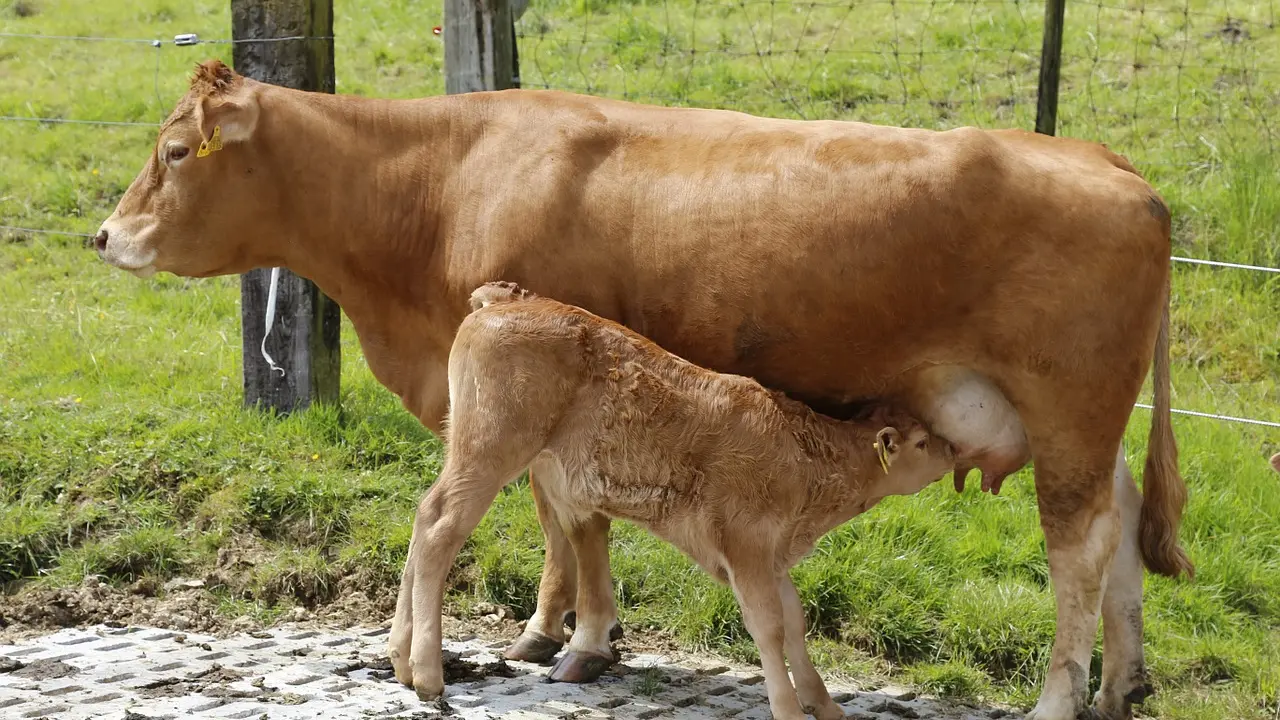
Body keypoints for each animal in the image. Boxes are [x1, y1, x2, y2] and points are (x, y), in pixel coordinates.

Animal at [399, 281, 952, 717]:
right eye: (922, 443)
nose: (951, 448)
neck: (805, 465)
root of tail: (508, 299)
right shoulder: (747, 545)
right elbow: (769, 628)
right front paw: (790, 709)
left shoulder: (773, 554)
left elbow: (796, 624)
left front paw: (824, 704)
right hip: (492, 446)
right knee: (441, 528)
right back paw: (427, 672)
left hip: (469, 445)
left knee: (424, 514)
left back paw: (400, 659)